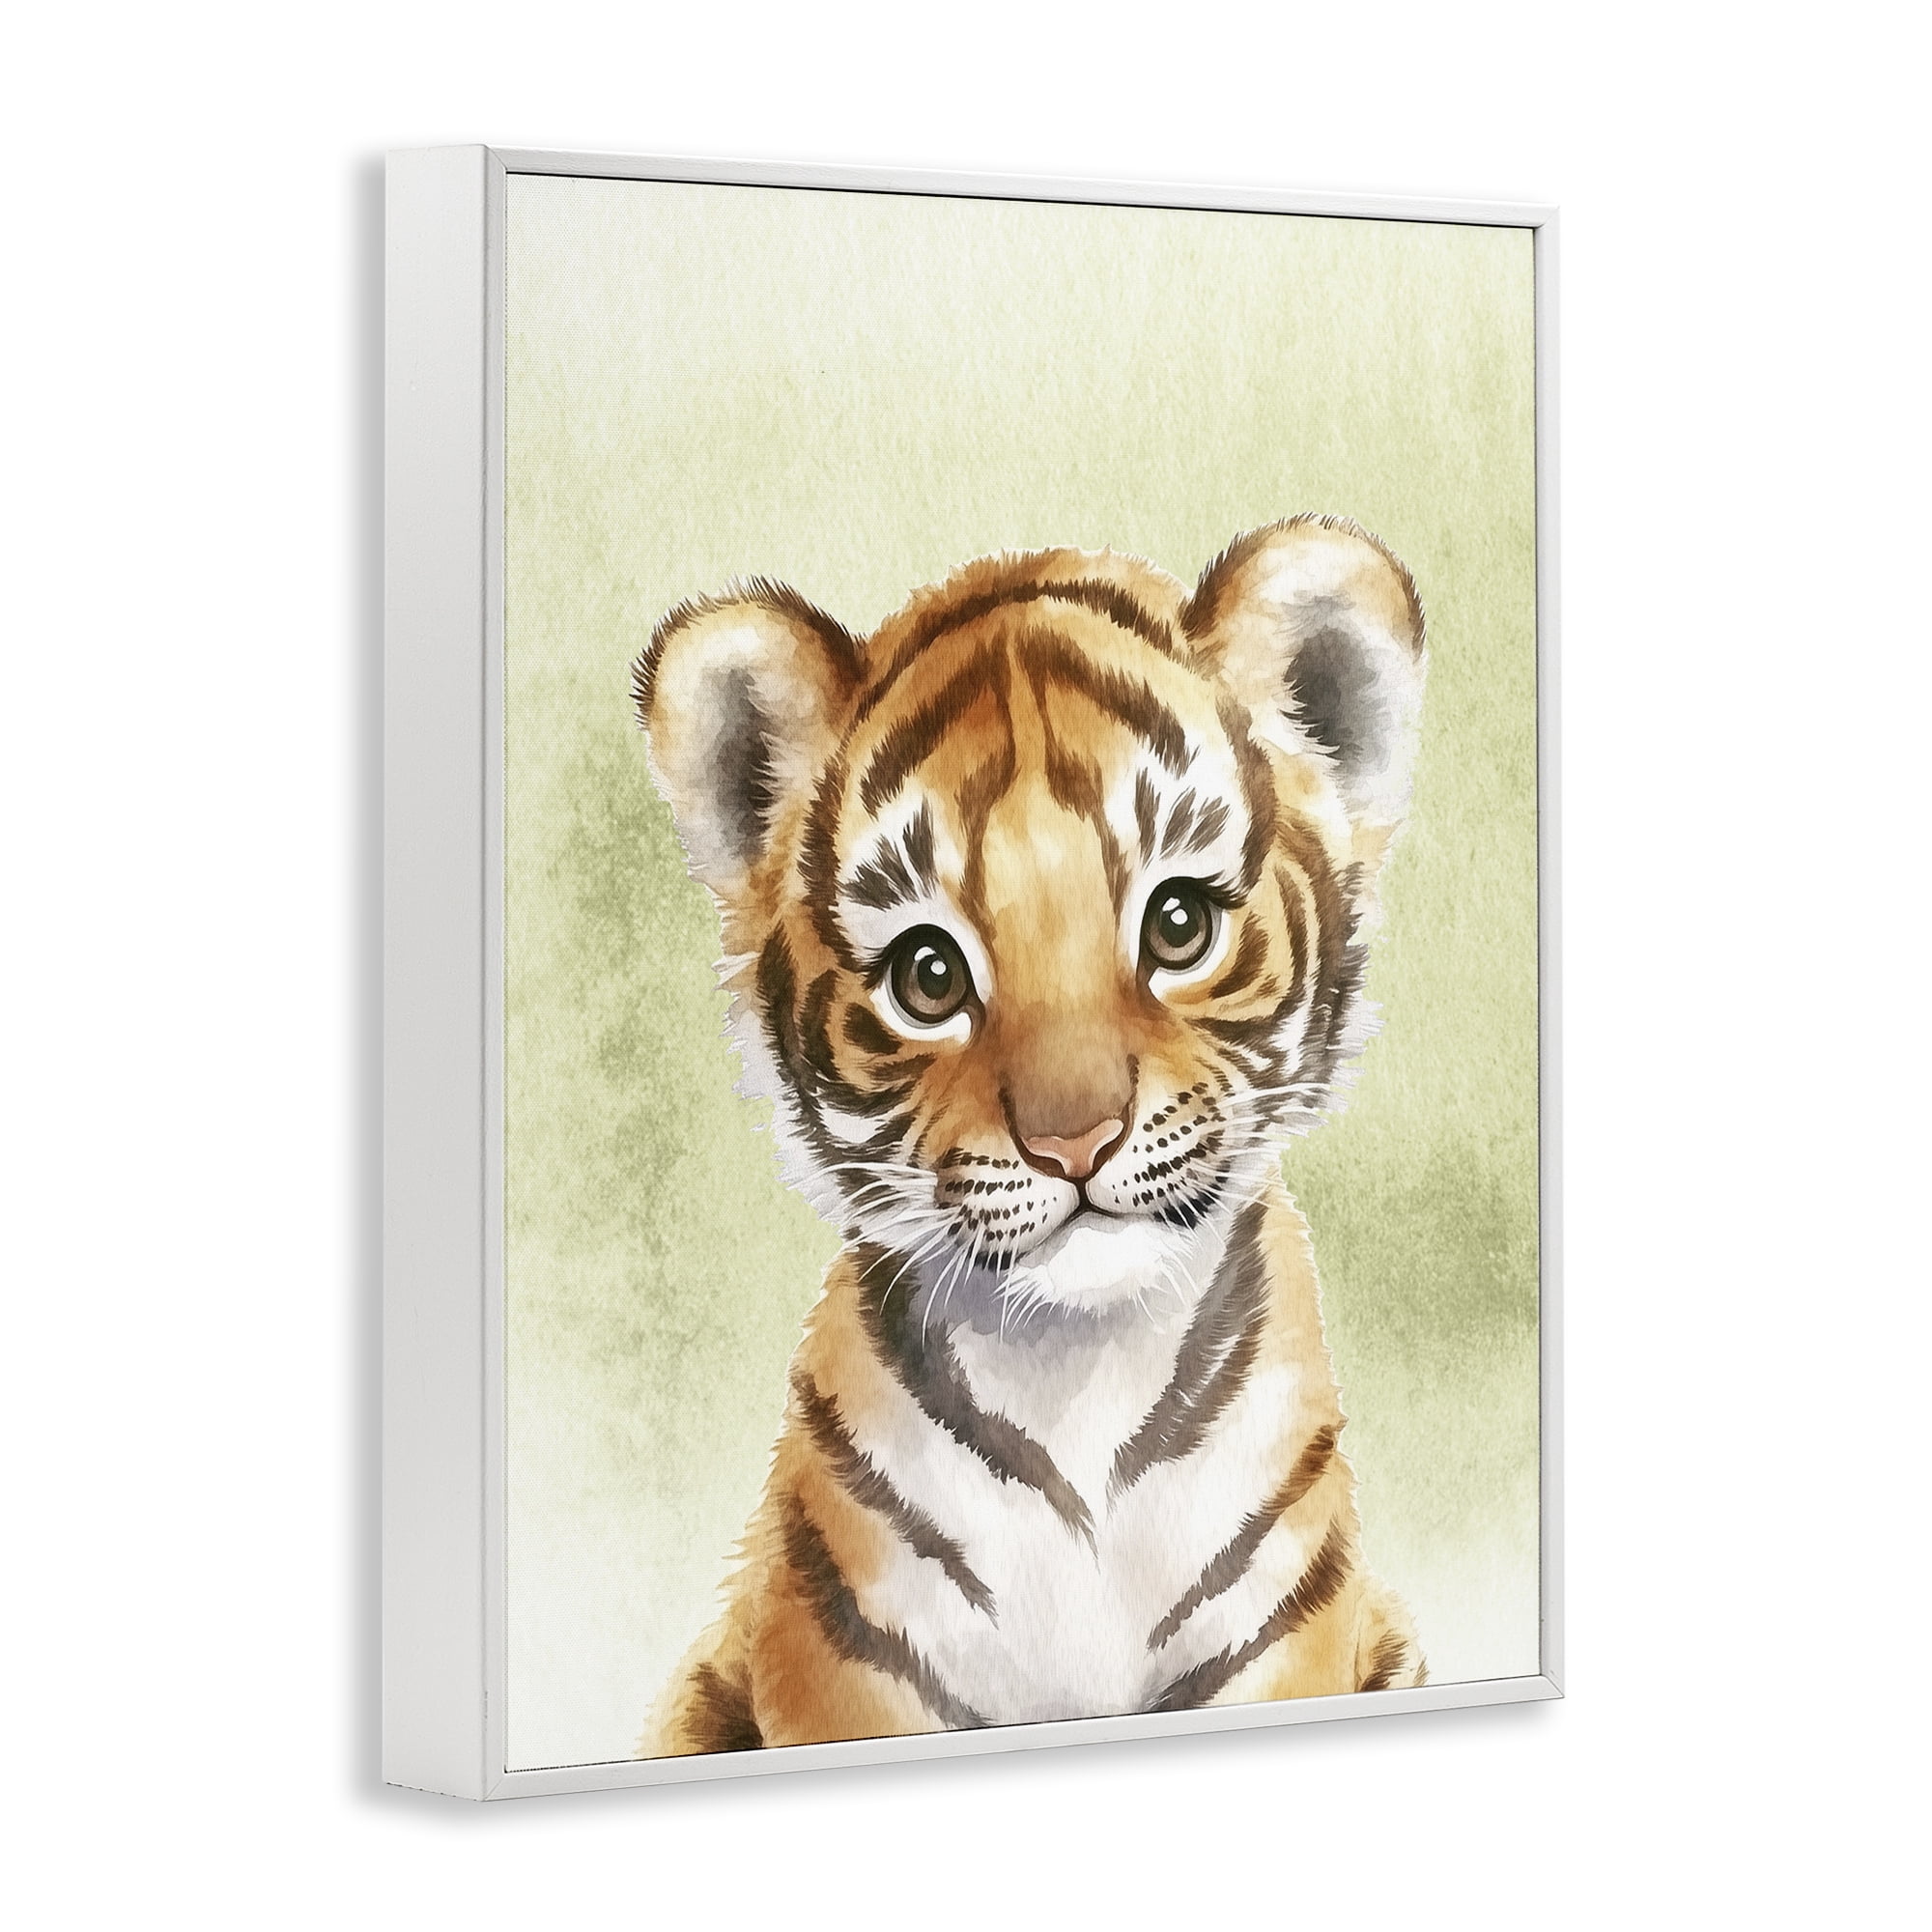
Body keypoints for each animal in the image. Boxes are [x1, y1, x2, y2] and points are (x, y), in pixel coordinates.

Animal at [631, 516, 1429, 1756]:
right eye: (927, 975)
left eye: (1178, 923)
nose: (1074, 1139)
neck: (1077, 1375)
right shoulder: (846, 1675)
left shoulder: (1281, 1644)